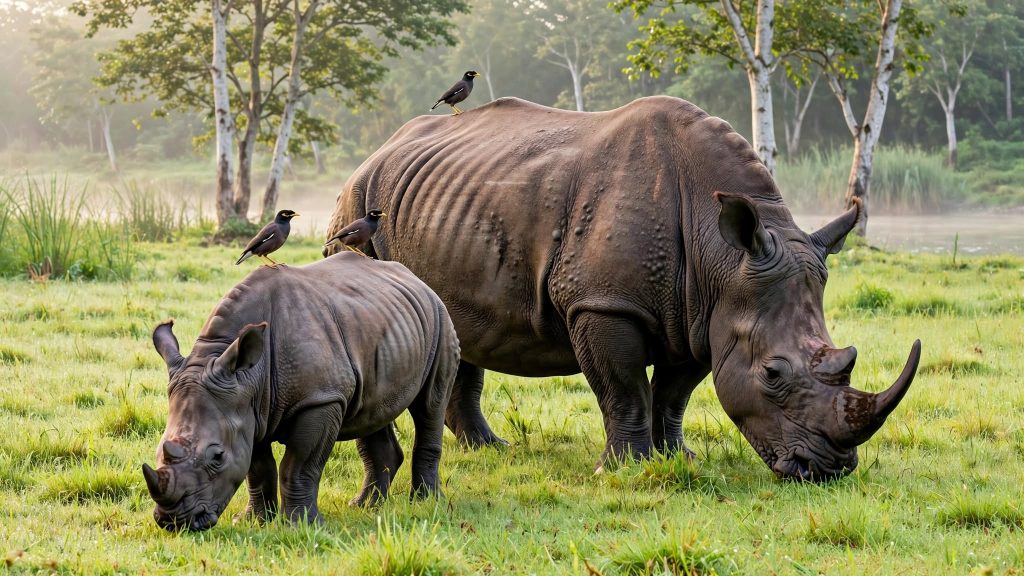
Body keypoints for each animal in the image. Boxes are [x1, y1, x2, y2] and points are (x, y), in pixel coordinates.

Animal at [144, 253, 459, 531]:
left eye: (217, 457)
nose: (175, 522)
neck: (248, 375)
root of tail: (416, 279)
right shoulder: (248, 408)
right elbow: (257, 469)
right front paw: (254, 521)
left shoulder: (320, 399)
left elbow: (298, 466)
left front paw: (302, 526)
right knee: (372, 411)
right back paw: (364, 506)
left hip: (440, 319)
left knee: (430, 404)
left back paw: (426, 503)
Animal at [324, 96, 922, 482]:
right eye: (773, 374)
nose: (827, 471)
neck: (723, 255)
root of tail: (378, 150)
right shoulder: (604, 304)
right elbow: (624, 390)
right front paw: (625, 469)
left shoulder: (702, 313)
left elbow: (674, 394)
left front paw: (678, 460)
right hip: (358, 206)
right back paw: (493, 448)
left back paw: (492, 449)